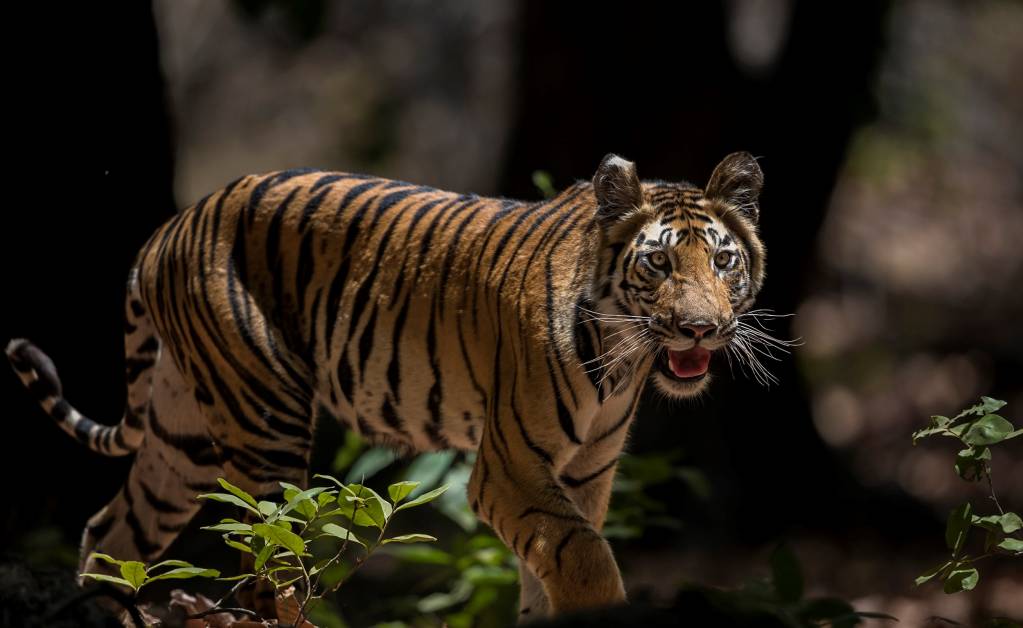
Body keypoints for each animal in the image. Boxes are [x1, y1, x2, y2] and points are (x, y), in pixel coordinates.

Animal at [7, 151, 765, 621]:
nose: (700, 329)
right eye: (659, 263)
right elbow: (586, 563)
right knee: (267, 557)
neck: (622, 361)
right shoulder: (510, 468)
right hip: (264, 419)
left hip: (183, 435)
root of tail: (172, 224)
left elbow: (547, 574)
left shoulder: (583, 475)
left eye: (723, 262)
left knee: (112, 532)